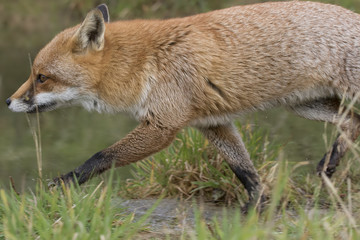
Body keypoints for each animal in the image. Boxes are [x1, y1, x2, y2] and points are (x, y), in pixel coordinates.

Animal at [5, 1, 360, 206]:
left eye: (42, 77)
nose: (8, 101)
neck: (144, 64)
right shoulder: (213, 123)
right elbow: (244, 170)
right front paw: (257, 207)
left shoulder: (164, 125)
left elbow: (101, 155)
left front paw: (65, 181)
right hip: (305, 105)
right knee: (352, 123)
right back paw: (328, 164)